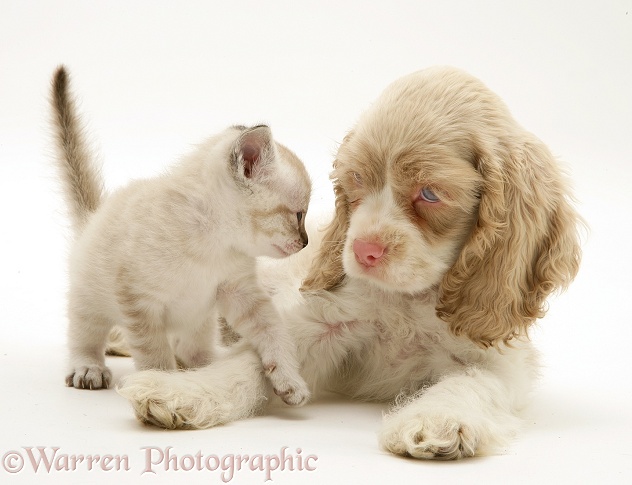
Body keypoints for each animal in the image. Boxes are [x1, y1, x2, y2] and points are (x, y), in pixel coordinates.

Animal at [50, 65, 312, 404]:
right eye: (299, 214)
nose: (305, 242)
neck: (213, 243)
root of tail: (94, 215)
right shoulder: (139, 302)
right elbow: (155, 355)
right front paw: (161, 385)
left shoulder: (239, 291)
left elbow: (273, 330)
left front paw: (289, 381)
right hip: (90, 298)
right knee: (85, 335)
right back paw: (88, 368)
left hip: (201, 319)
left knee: (191, 349)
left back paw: (210, 364)